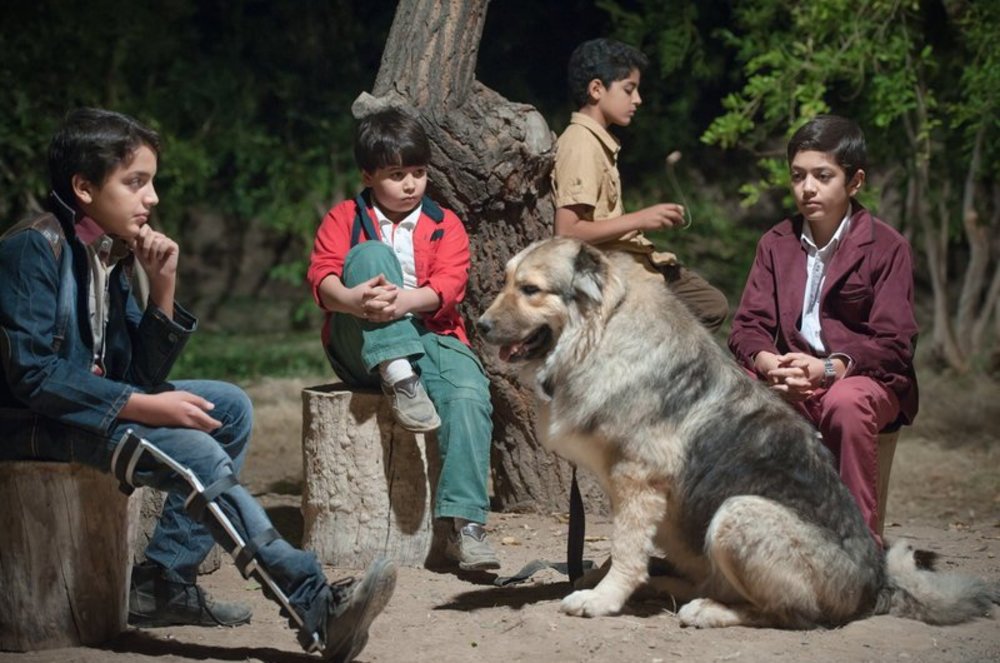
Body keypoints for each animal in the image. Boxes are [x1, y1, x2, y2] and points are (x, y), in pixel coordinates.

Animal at [480, 237, 996, 628]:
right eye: (505, 281)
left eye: (530, 289)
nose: (481, 325)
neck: (604, 330)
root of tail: (877, 587)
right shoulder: (630, 489)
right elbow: (626, 546)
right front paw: (608, 581)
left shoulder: (637, 478)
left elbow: (625, 548)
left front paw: (604, 599)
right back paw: (668, 584)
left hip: (737, 513)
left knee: (789, 614)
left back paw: (708, 609)